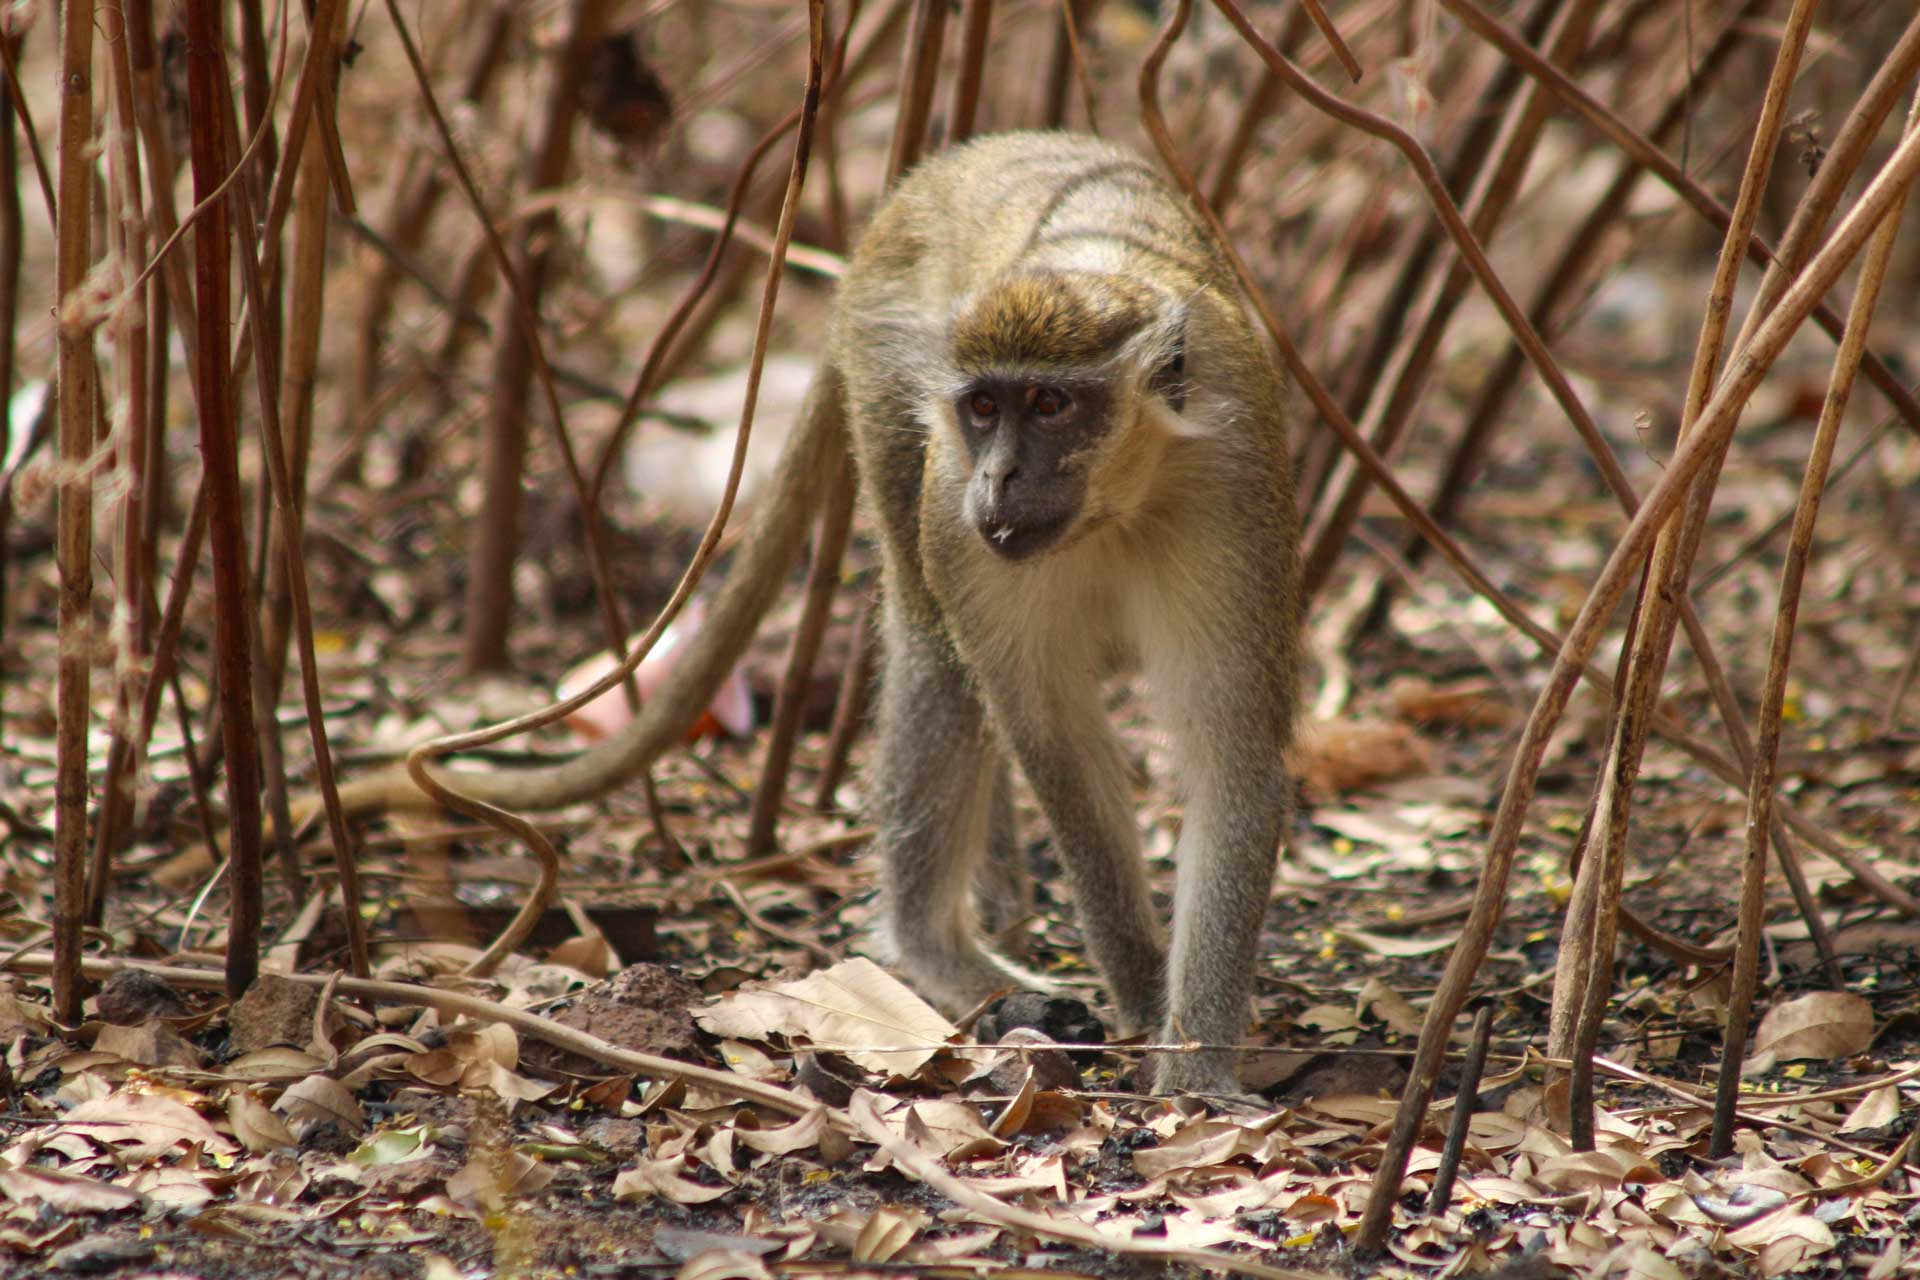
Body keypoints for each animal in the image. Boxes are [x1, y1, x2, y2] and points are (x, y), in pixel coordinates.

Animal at [206, 138, 1305, 1105]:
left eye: (1050, 404)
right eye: (987, 407)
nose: (996, 480)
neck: (1121, 497)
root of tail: (939, 171)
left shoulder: (1236, 492)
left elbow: (1232, 758)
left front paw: (1195, 1054)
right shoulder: (957, 512)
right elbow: (1053, 742)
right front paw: (1146, 995)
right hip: (893, 392)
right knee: (937, 650)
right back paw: (941, 953)